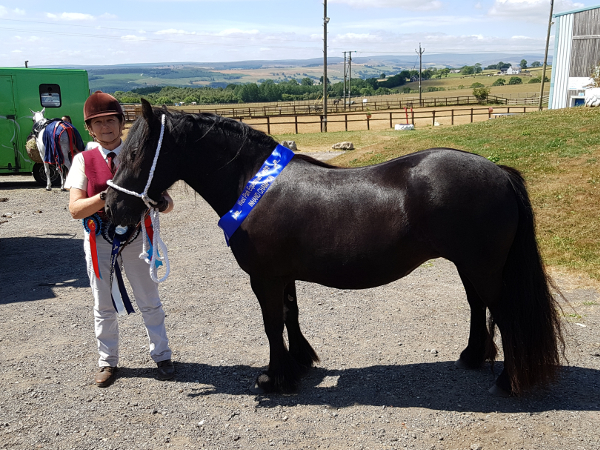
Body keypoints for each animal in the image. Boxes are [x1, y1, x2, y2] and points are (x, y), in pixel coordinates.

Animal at [105, 100, 564, 396]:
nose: (111, 207)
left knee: (504, 313)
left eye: (136, 152)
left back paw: (508, 382)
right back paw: (472, 357)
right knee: (477, 305)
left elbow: (271, 323)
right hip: (470, 265)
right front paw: (301, 363)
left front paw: (276, 380)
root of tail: (499, 172)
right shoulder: (282, 274)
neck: (251, 182)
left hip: (483, 266)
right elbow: (289, 314)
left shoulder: (264, 277)